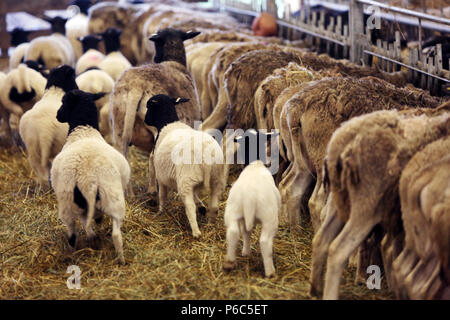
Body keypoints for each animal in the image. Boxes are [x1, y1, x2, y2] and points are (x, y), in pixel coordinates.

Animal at [52, 89, 131, 264]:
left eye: (64, 101)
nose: (58, 115)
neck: (84, 130)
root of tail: (86, 178)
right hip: (112, 196)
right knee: (115, 233)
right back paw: (119, 258)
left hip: (68, 203)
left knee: (73, 234)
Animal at [144, 93, 225, 238]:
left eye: (149, 106)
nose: (145, 120)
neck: (168, 123)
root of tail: (204, 154)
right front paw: (202, 207)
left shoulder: (161, 176)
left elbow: (162, 195)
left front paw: (161, 211)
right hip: (216, 179)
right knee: (214, 205)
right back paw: (211, 224)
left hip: (186, 181)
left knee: (190, 206)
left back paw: (196, 232)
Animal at [310, 109, 450, 298]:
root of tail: (347, 138)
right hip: (367, 206)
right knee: (338, 250)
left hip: (339, 199)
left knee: (321, 239)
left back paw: (315, 289)